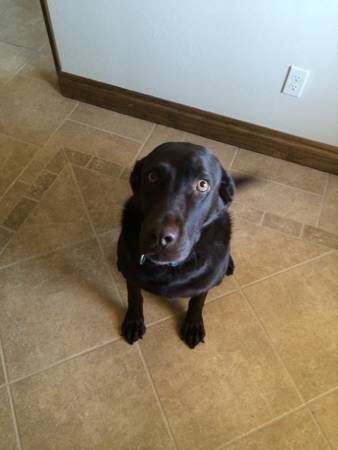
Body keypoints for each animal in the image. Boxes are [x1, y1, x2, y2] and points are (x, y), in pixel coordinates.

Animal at [117, 142, 247, 348]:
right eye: (152, 176)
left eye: (203, 184)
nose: (160, 237)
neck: (169, 269)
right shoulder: (131, 274)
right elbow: (135, 297)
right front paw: (134, 322)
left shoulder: (204, 283)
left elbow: (197, 303)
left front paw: (193, 325)